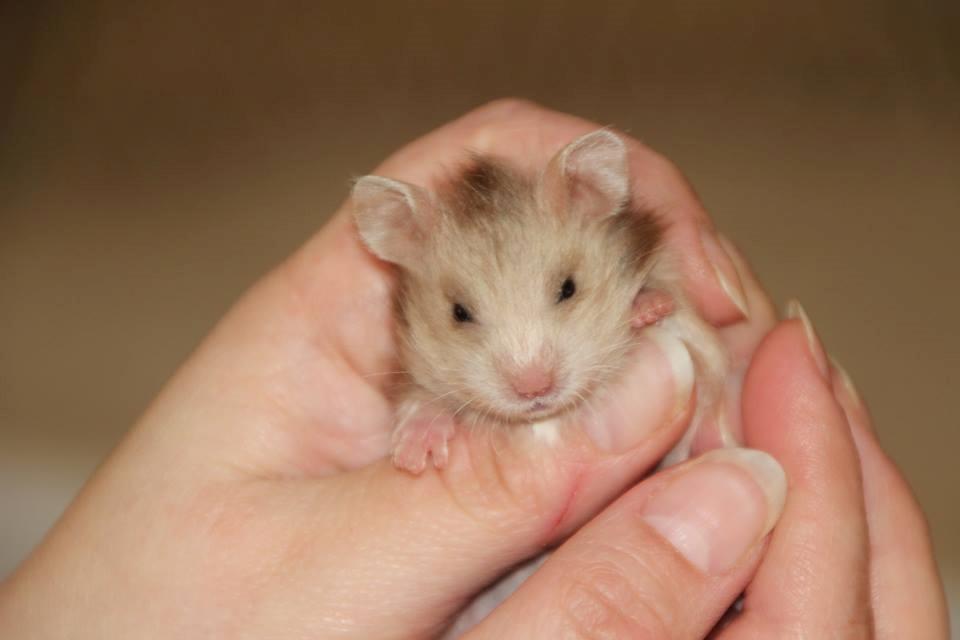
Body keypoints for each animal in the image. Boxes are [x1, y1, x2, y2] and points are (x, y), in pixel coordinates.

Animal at [352, 129, 729, 474]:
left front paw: (648, 310)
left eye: (568, 288)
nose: (534, 390)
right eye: (459, 313)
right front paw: (416, 456)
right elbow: (416, 397)